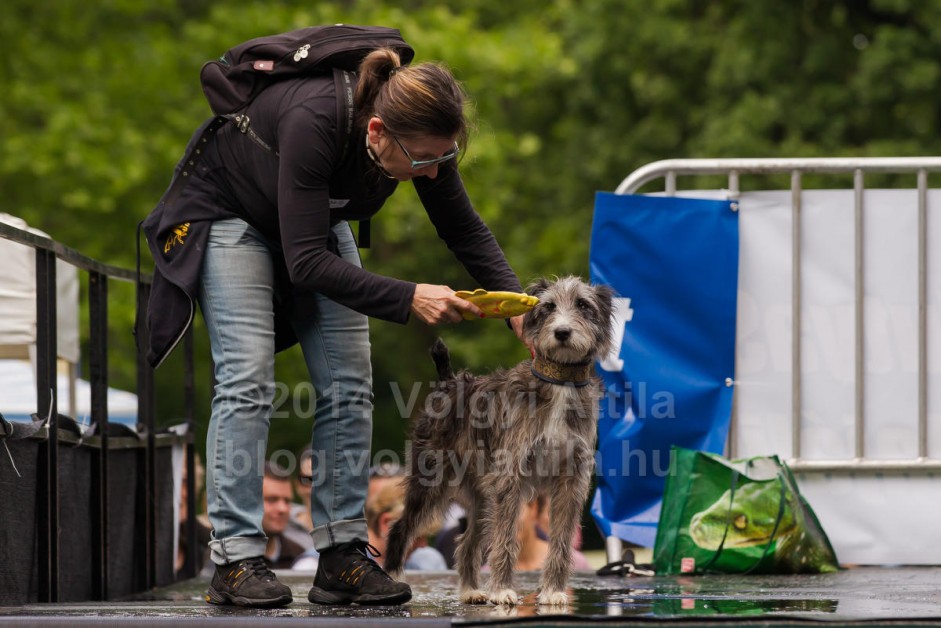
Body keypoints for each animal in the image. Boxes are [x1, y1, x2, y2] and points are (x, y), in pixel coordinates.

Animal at [384, 276, 613, 606]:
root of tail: (448, 382)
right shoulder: (510, 476)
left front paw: (553, 590)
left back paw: (470, 590)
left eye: (583, 305)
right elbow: (505, 538)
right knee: (400, 527)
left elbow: (560, 541)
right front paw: (503, 589)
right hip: (430, 482)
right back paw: (392, 578)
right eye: (548, 307)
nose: (562, 332)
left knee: (467, 542)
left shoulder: (571, 480)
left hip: (482, 497)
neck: (559, 383)